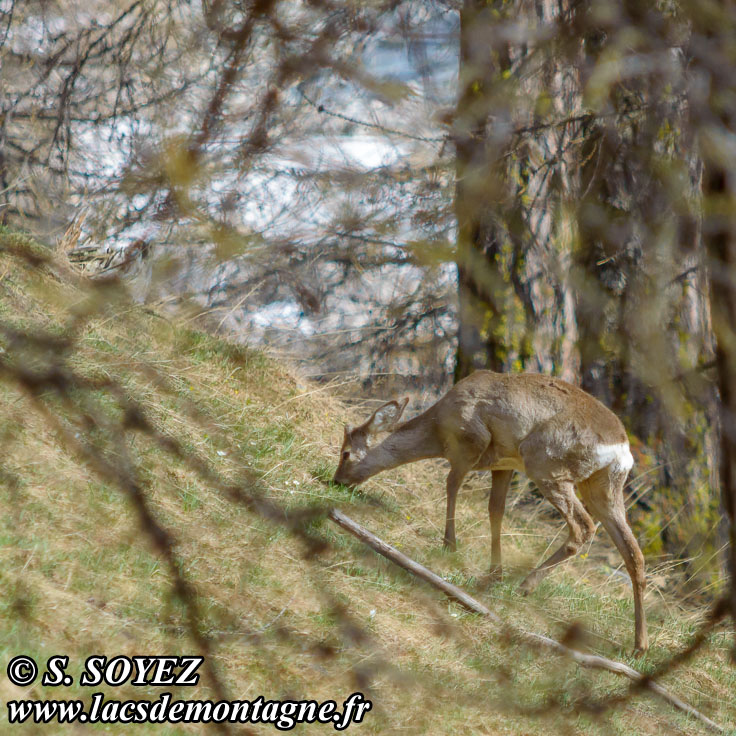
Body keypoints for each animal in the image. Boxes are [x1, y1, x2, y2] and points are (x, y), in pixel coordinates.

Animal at [334, 370, 648, 652]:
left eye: (345, 453)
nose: (337, 480)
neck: (437, 429)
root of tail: (621, 449)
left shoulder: (471, 441)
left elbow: (451, 485)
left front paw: (450, 545)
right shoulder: (504, 464)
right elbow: (495, 510)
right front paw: (494, 572)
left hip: (546, 464)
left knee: (584, 526)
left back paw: (525, 586)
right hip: (602, 487)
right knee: (633, 552)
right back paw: (639, 646)